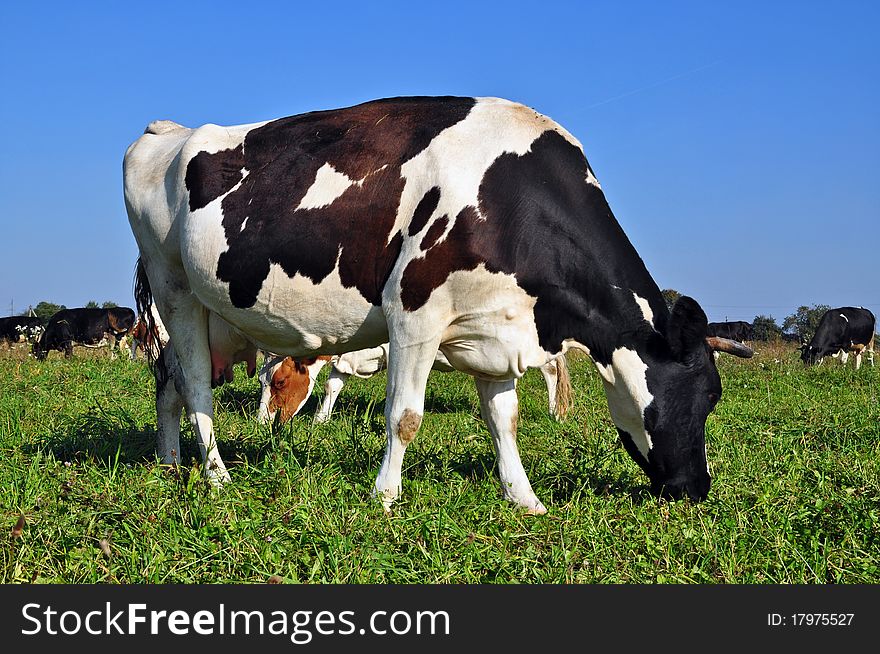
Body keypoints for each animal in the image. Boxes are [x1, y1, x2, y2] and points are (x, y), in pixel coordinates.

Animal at [127, 96, 752, 512]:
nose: (695, 489)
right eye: (708, 396)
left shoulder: (496, 328)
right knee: (195, 385)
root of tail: (168, 130)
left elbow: (506, 420)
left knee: (169, 381)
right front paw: (384, 498)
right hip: (174, 287)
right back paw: (216, 476)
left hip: (209, 317)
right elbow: (404, 416)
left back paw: (170, 462)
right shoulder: (413, 313)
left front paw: (525, 499)